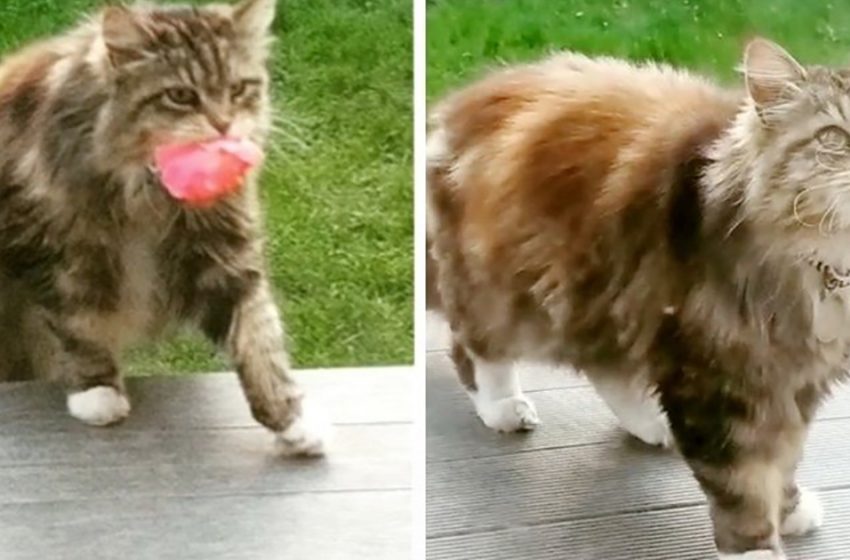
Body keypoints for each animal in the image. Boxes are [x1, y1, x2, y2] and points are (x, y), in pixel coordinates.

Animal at [0, 0, 328, 456]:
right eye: (180, 96)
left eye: (238, 89)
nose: (223, 125)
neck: (148, 192)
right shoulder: (53, 255)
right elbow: (78, 327)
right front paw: (98, 393)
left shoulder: (224, 256)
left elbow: (259, 340)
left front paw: (291, 421)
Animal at [430, 37, 848, 556]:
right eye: (833, 136)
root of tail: (460, 105)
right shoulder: (713, 378)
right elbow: (743, 485)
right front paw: (756, 545)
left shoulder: (795, 380)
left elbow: (785, 458)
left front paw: (788, 510)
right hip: (521, 296)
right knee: (473, 345)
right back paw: (503, 406)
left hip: (603, 294)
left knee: (603, 366)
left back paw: (651, 424)